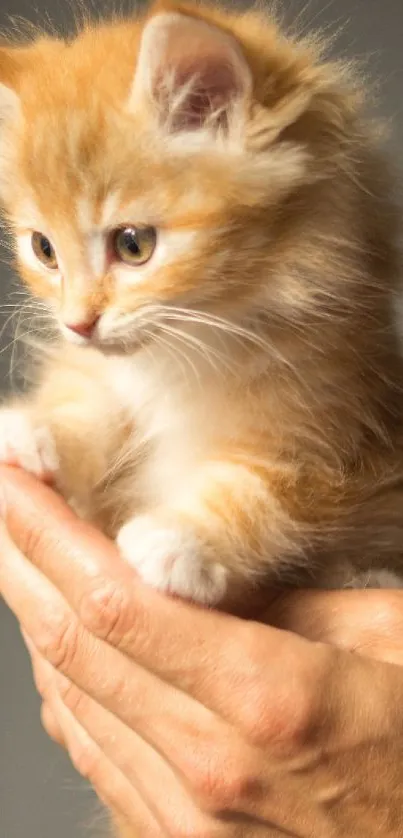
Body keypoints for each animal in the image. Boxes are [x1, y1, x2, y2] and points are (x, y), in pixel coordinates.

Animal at [0, 0, 403, 624]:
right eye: (44, 249)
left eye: (133, 244)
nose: (77, 323)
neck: (192, 349)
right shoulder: (110, 372)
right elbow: (92, 400)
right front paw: (37, 429)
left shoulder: (336, 435)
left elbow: (268, 493)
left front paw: (183, 541)